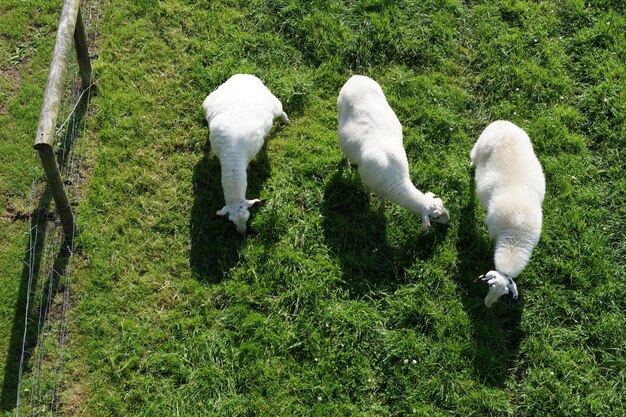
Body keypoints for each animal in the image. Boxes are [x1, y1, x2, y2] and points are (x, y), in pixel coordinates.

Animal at [201, 72, 288, 232]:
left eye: (248, 217)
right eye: (231, 220)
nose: (242, 233)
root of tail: (244, 75)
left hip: (273, 102)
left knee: (281, 110)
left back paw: (285, 121)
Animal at [336, 75, 448, 231]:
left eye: (442, 204)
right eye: (435, 217)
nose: (449, 220)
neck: (397, 181)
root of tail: (355, 77)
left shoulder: (383, 187)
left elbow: (383, 199)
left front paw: (382, 208)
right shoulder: (368, 181)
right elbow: (369, 192)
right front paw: (369, 201)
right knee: (345, 153)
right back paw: (347, 166)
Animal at [470, 119, 544, 306]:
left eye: (505, 294)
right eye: (489, 285)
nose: (487, 305)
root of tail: (502, 122)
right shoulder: (493, 230)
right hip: (479, 148)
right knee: (473, 156)